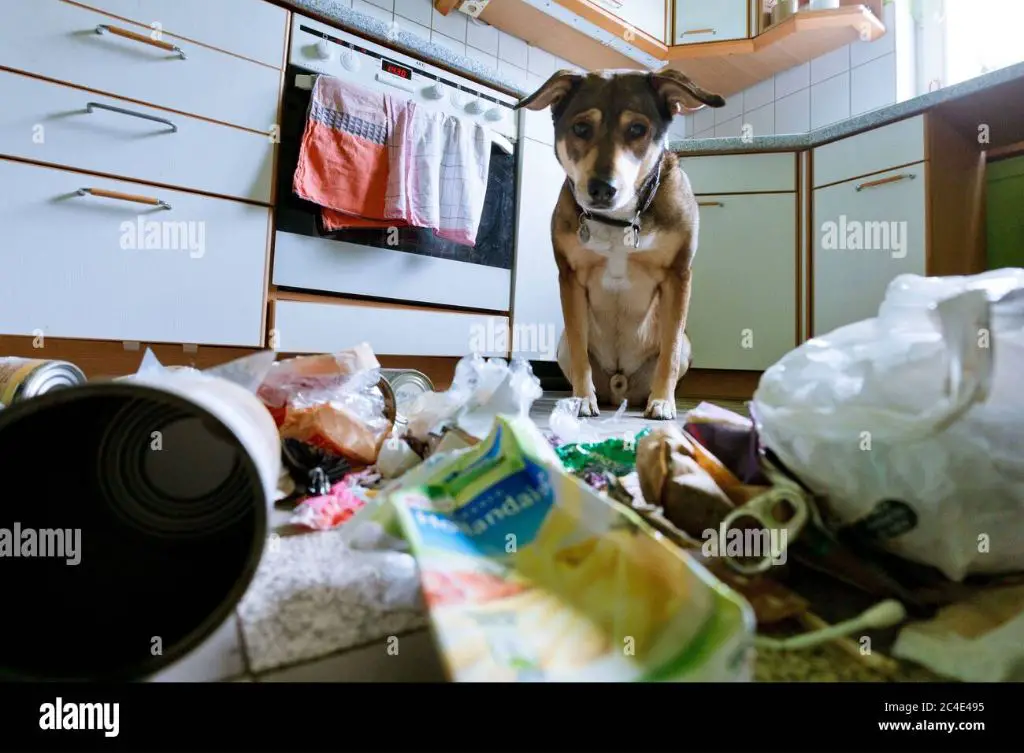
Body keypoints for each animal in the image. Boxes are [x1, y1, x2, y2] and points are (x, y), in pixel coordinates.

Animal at [516, 67, 724, 422]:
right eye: (581, 128)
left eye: (637, 128)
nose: (602, 188)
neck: (618, 219)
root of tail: (619, 385)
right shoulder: (569, 277)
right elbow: (579, 344)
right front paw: (582, 400)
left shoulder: (679, 274)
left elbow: (669, 351)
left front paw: (663, 403)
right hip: (561, 347)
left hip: (685, 347)